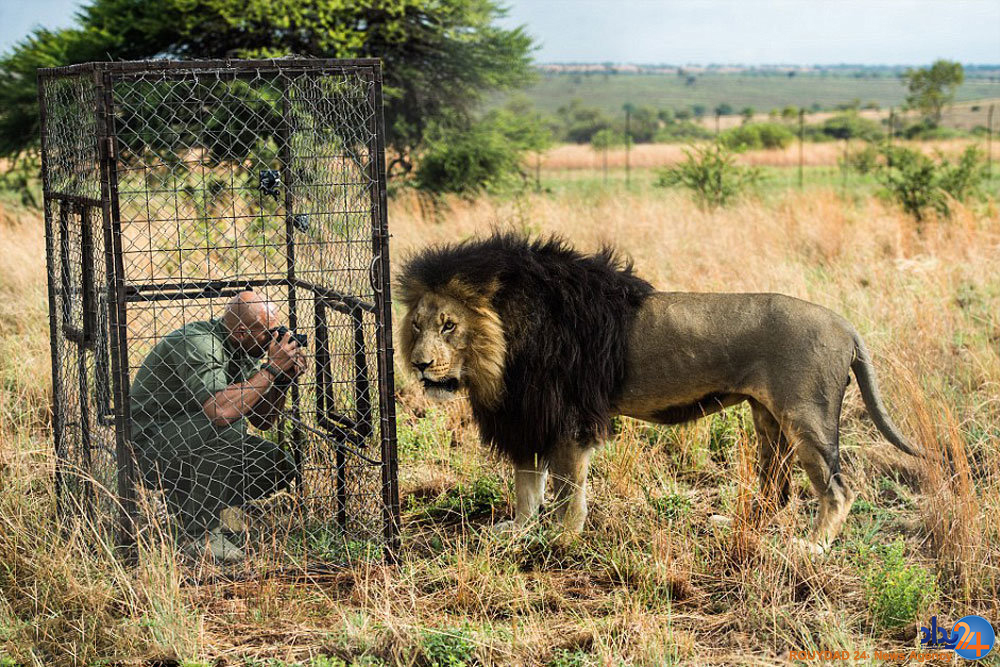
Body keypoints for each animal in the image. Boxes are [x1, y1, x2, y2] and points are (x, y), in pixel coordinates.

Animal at [394, 235, 916, 552]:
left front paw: (564, 538)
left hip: (806, 416)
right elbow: (528, 486)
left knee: (838, 489)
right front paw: (518, 530)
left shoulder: (568, 419)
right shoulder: (527, 416)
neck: (502, 346)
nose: (420, 364)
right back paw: (740, 526)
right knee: (775, 487)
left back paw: (811, 546)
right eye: (417, 326)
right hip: (767, 417)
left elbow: (567, 490)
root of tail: (845, 324)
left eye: (449, 326)